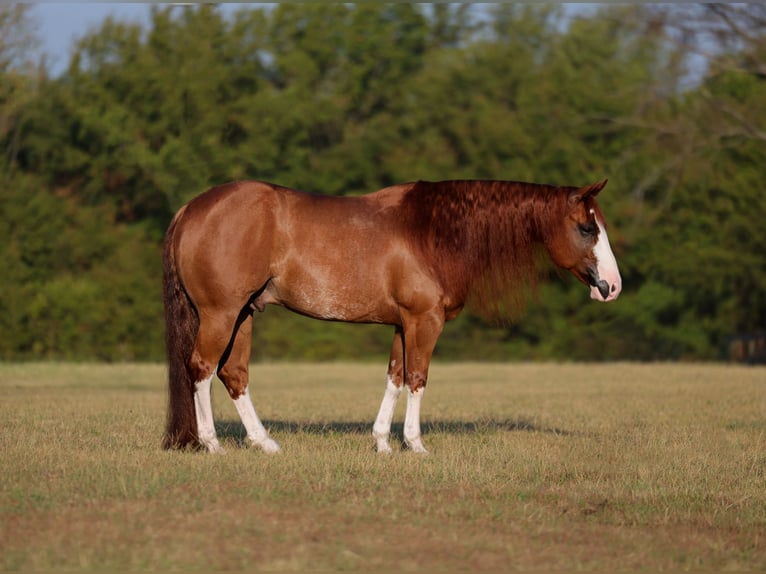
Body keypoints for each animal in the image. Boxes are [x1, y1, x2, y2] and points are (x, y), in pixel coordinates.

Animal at [162, 178, 622, 454]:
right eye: (587, 228)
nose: (612, 286)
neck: (433, 232)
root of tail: (190, 208)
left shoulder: (403, 323)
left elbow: (395, 378)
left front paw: (382, 442)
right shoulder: (424, 320)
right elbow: (417, 378)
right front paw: (415, 444)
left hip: (243, 314)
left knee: (233, 374)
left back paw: (263, 442)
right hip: (221, 314)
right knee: (201, 368)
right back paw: (212, 443)